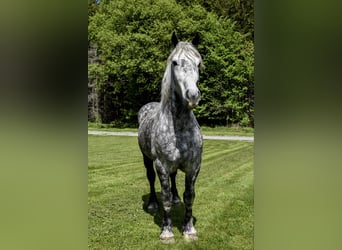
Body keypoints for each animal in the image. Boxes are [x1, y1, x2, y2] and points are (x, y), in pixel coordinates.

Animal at [138, 32, 203, 243]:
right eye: (174, 62)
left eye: (198, 63)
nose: (193, 96)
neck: (179, 128)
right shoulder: (162, 166)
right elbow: (165, 196)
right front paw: (166, 232)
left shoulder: (194, 166)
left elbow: (189, 196)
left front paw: (189, 229)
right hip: (147, 159)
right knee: (151, 178)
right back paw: (152, 204)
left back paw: (176, 199)